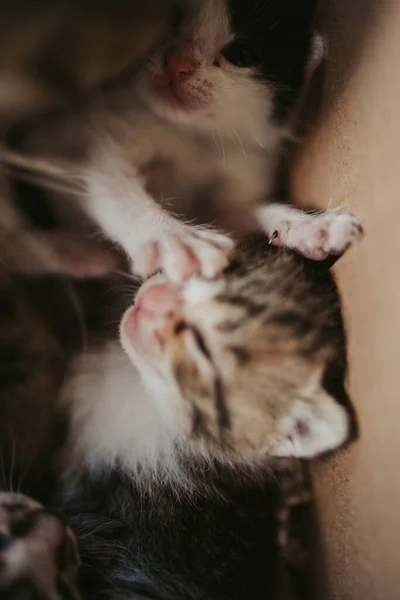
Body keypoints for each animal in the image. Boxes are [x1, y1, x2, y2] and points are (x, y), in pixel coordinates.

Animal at [1, 0, 360, 284]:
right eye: (170, 20)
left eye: (241, 54)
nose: (176, 62)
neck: (190, 135)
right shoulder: (87, 132)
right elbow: (113, 186)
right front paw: (172, 237)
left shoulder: (243, 164)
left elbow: (243, 213)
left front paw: (307, 225)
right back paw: (70, 251)